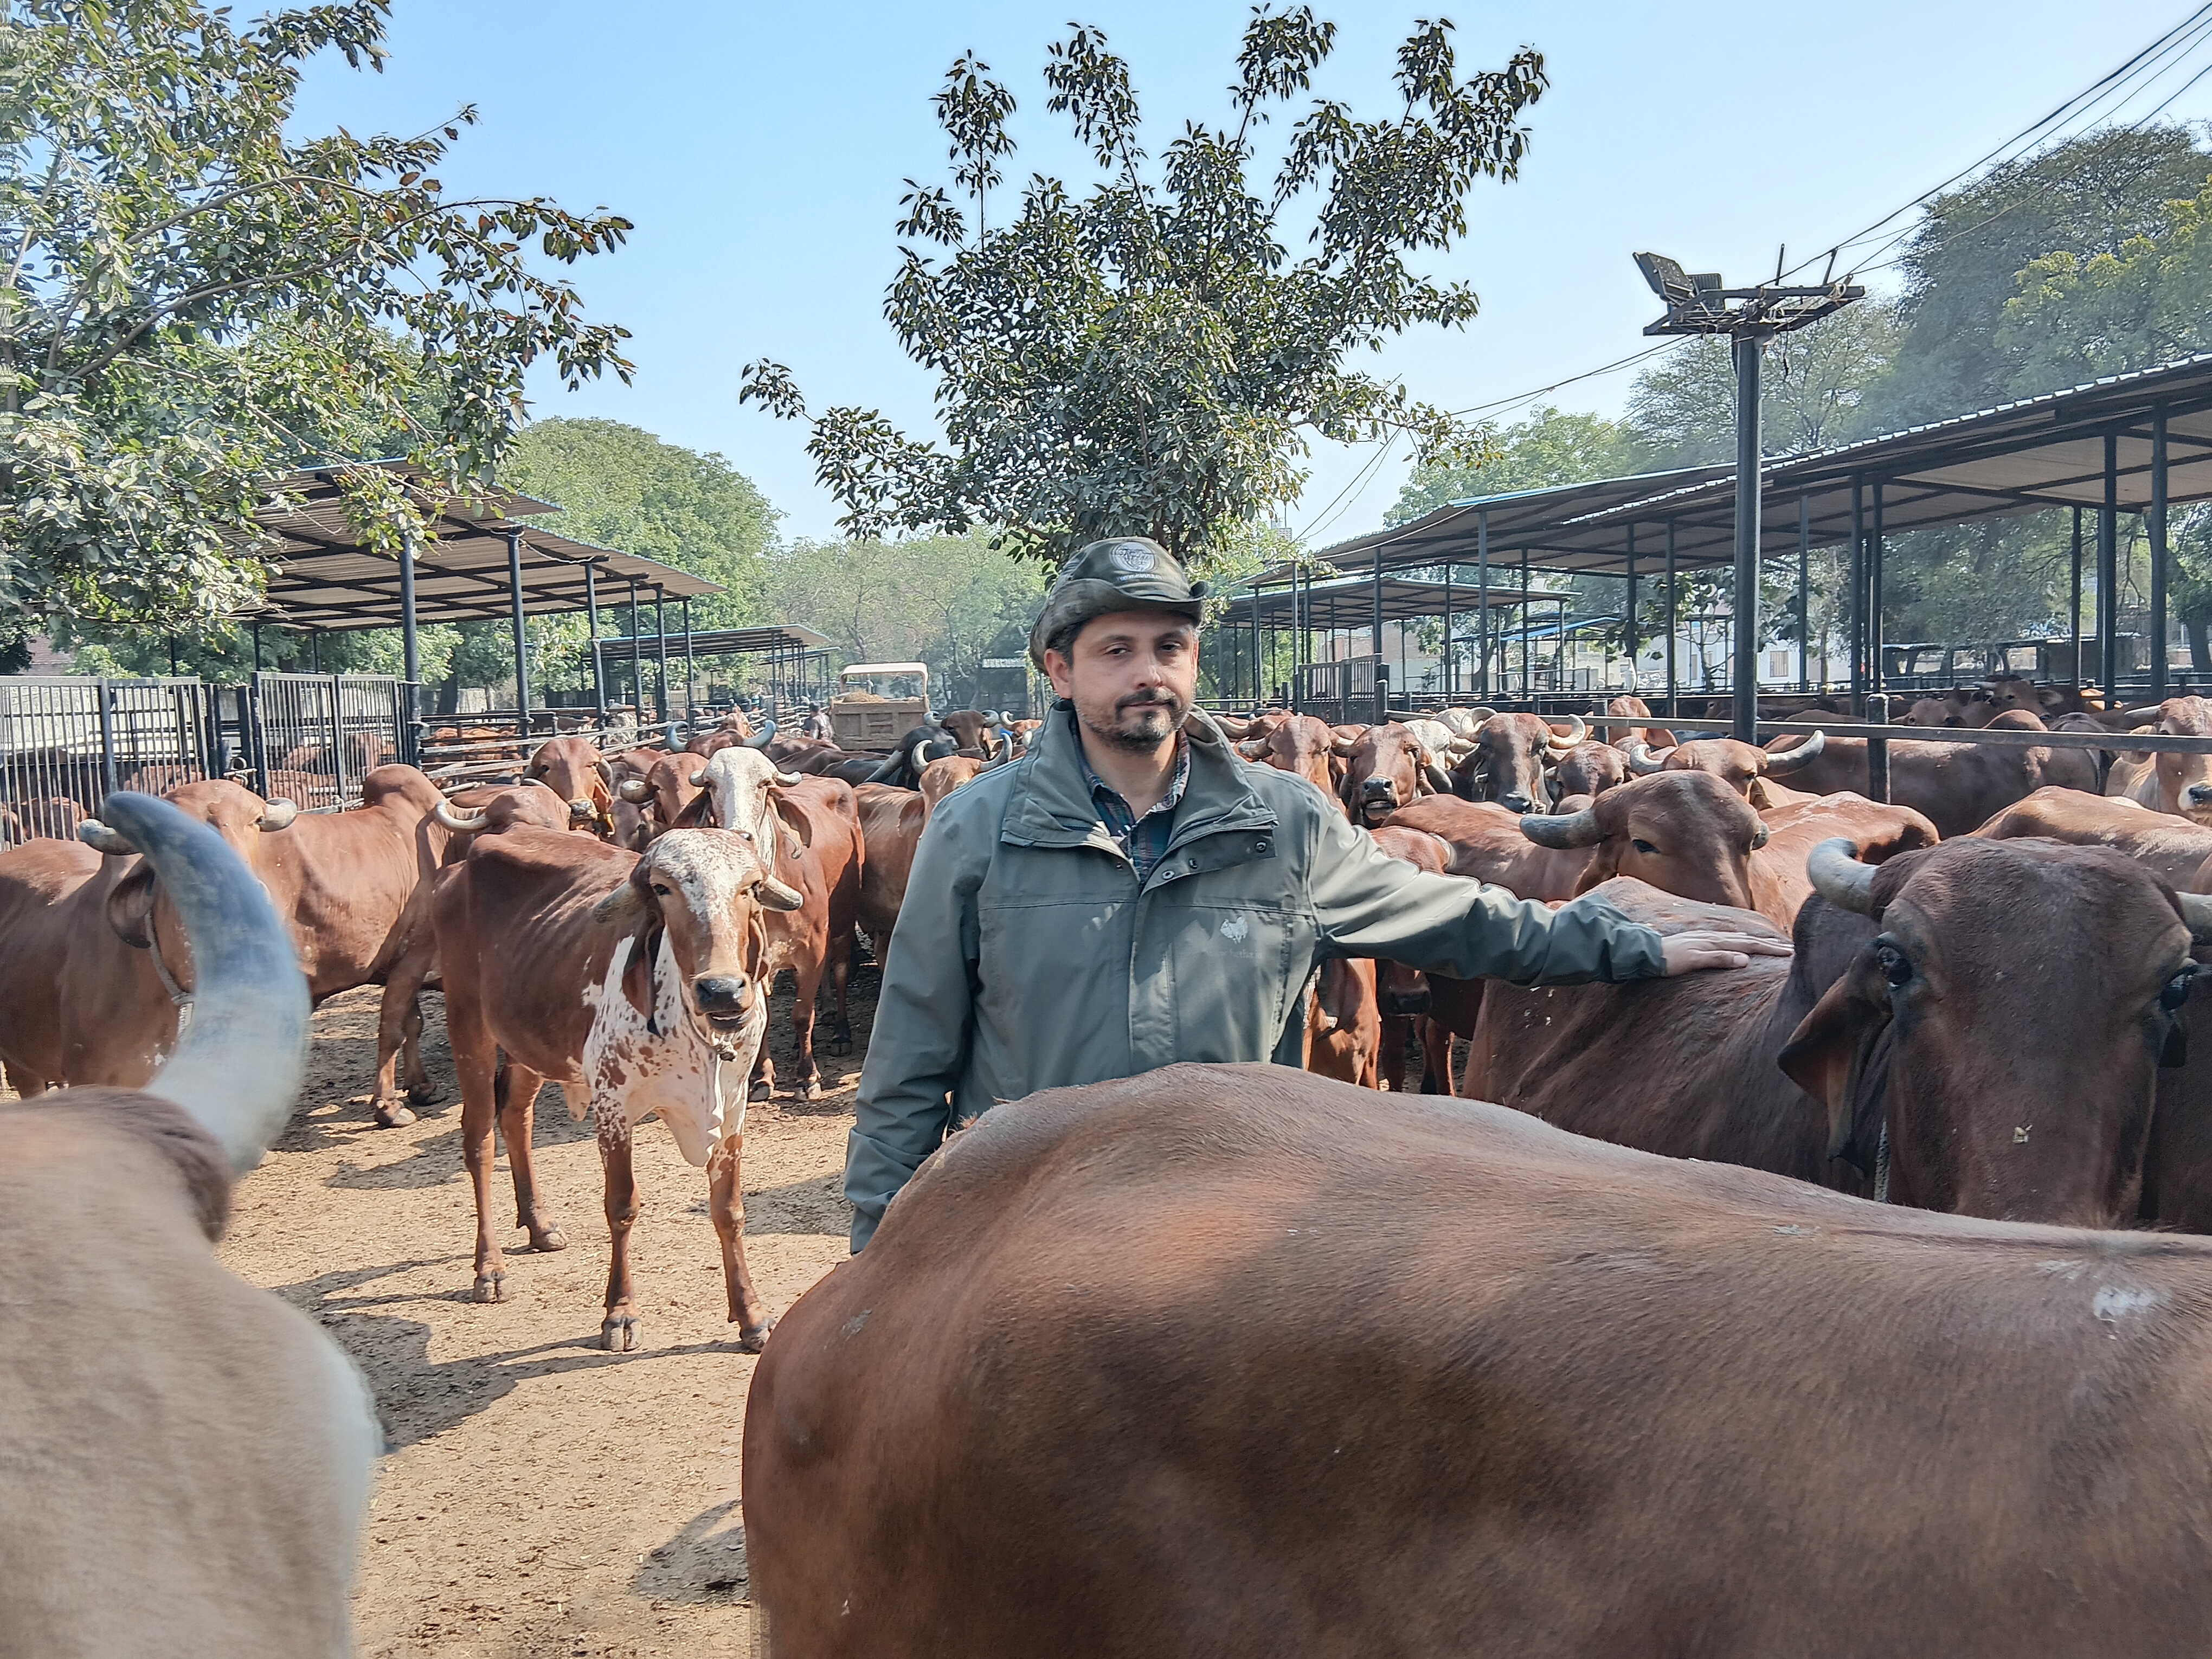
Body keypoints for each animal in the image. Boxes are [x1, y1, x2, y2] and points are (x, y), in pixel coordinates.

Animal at [431, 827, 805, 1345]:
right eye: (664, 889)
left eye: (749, 887)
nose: (723, 990)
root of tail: (462, 864)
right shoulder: (614, 1106)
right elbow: (623, 1206)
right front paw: (621, 1312)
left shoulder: (733, 1109)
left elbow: (728, 1210)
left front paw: (750, 1315)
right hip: (469, 1026)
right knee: (479, 1141)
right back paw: (489, 1268)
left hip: (530, 1041)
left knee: (515, 1117)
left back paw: (539, 1225)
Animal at [699, 748, 863, 1097]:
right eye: (710, 784)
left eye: (764, 784)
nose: (738, 836)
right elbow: (763, 1019)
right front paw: (763, 1077)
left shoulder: (812, 951)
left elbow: (802, 1014)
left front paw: (807, 1077)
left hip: (843, 924)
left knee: (841, 971)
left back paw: (841, 1032)